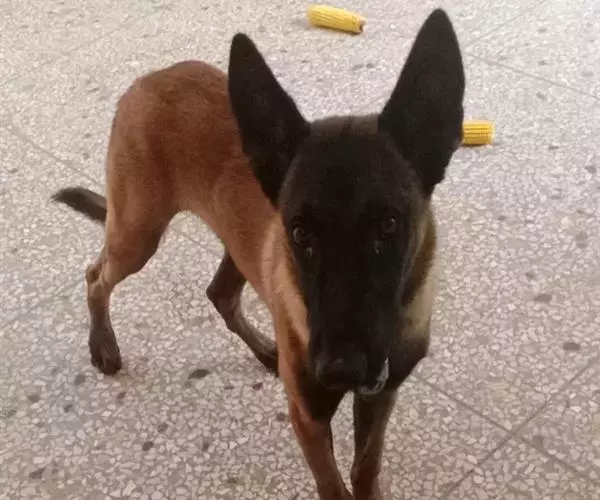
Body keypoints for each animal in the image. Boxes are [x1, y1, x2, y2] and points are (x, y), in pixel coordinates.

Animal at [53, 9, 464, 499]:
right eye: (300, 232)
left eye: (388, 225)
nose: (339, 368)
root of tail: (146, 80)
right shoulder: (309, 417)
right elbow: (333, 485)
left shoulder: (380, 397)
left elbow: (365, 469)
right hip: (137, 233)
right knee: (95, 275)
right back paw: (103, 344)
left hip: (228, 246)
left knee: (219, 293)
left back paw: (266, 351)